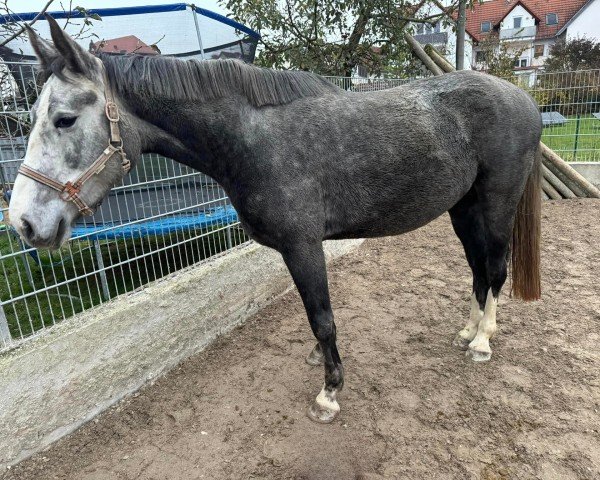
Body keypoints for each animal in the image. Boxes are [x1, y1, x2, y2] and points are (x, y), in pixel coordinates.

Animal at [8, 16, 544, 424]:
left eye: (63, 119)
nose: (24, 224)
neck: (254, 140)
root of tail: (525, 101)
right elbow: (316, 319)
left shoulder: (304, 245)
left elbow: (322, 318)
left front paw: (329, 392)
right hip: (463, 209)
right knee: (478, 271)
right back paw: (467, 331)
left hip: (495, 205)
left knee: (495, 269)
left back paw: (482, 342)